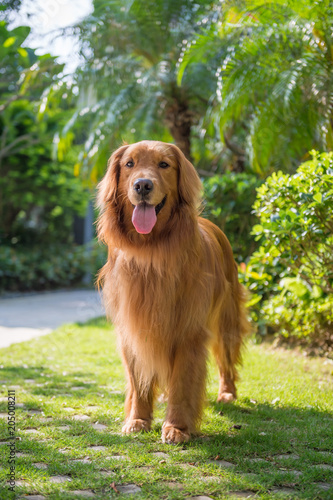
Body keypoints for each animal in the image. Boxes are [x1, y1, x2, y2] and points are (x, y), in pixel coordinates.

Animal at [96, 139, 249, 444]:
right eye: (129, 164)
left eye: (164, 165)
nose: (143, 185)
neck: (151, 252)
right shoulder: (133, 328)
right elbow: (139, 381)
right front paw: (138, 419)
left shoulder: (189, 331)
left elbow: (182, 383)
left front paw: (177, 427)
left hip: (226, 320)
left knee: (226, 359)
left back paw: (227, 393)